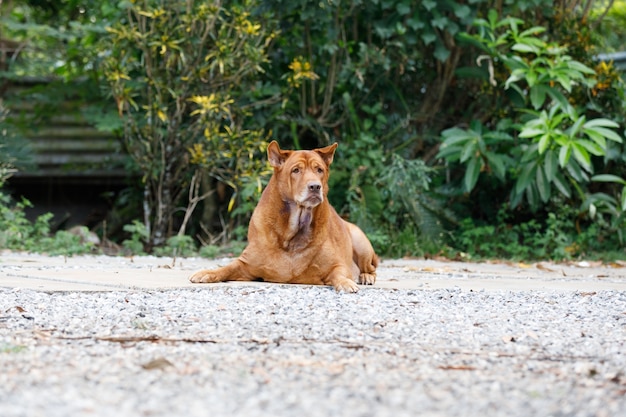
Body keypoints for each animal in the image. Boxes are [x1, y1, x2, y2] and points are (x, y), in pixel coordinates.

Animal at [188, 140, 378, 292]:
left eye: (319, 170)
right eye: (296, 170)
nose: (315, 186)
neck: (294, 232)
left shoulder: (337, 265)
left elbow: (339, 274)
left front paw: (346, 283)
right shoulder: (246, 265)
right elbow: (225, 268)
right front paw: (207, 272)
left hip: (360, 240)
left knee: (370, 267)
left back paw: (366, 276)